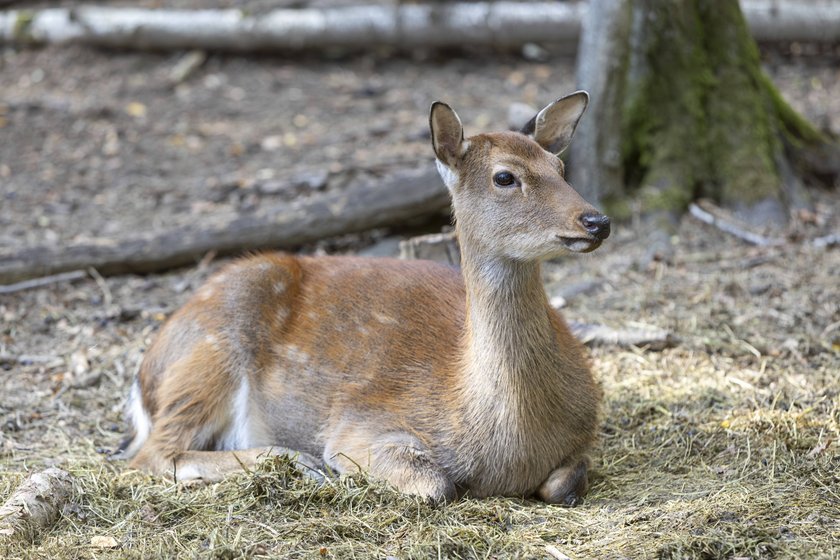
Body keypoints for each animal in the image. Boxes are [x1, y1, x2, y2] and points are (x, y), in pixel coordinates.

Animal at [115, 91, 610, 505]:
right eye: (504, 177)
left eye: (560, 169)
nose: (597, 221)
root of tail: (144, 375)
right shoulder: (358, 425)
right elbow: (436, 484)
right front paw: (333, 468)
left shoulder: (584, 435)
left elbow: (563, 483)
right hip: (209, 354)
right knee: (153, 452)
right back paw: (299, 461)